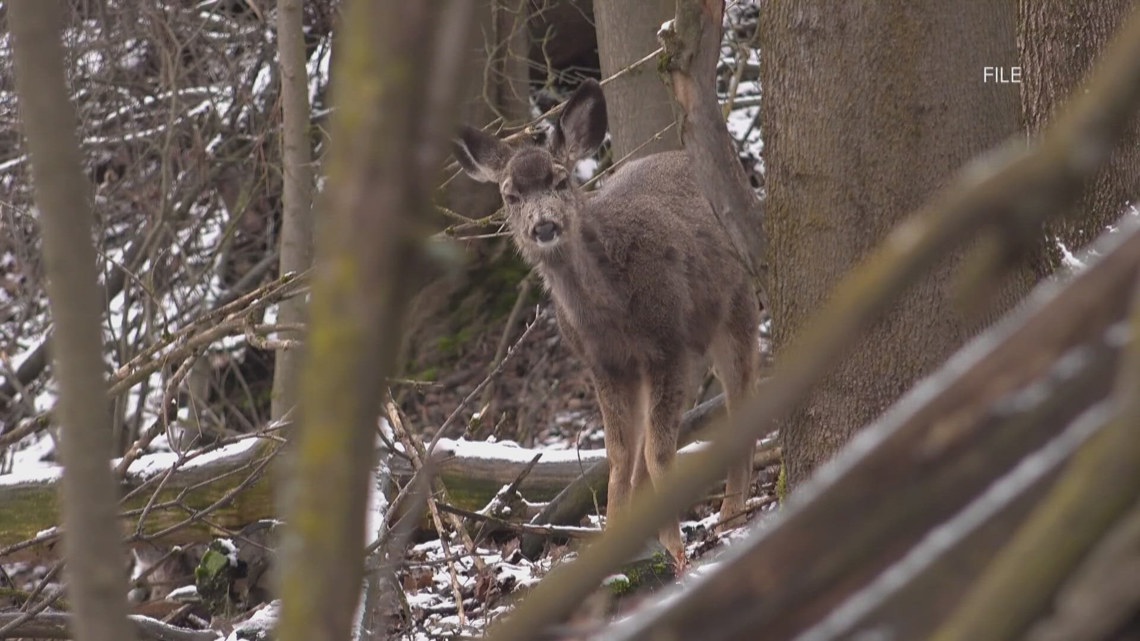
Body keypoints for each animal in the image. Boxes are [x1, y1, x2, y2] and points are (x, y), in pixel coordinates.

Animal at [453, 79, 760, 569]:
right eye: (510, 195)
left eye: (560, 180)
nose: (543, 226)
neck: (613, 311)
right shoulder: (605, 364)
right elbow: (619, 458)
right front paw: (613, 544)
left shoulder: (666, 344)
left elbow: (657, 452)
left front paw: (677, 550)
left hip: (735, 305)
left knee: (740, 398)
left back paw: (730, 514)